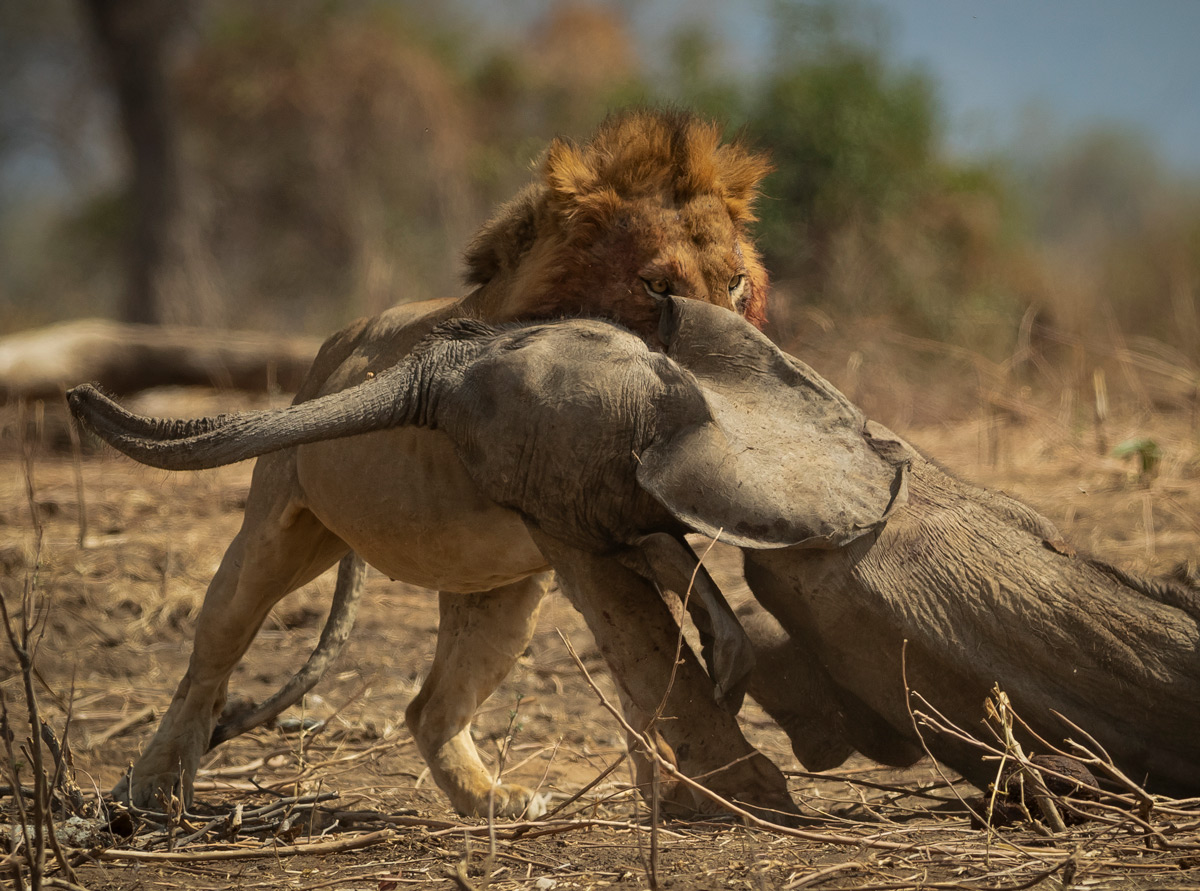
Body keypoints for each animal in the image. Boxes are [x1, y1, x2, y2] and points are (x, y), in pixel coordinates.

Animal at [114, 108, 777, 821]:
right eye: (657, 286)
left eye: (734, 282)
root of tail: (340, 342)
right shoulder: (576, 530)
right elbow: (654, 658)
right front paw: (731, 788)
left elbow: (650, 664)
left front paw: (678, 790)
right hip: (270, 540)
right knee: (204, 669)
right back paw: (152, 788)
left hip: (499, 591)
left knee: (428, 708)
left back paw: (490, 798)